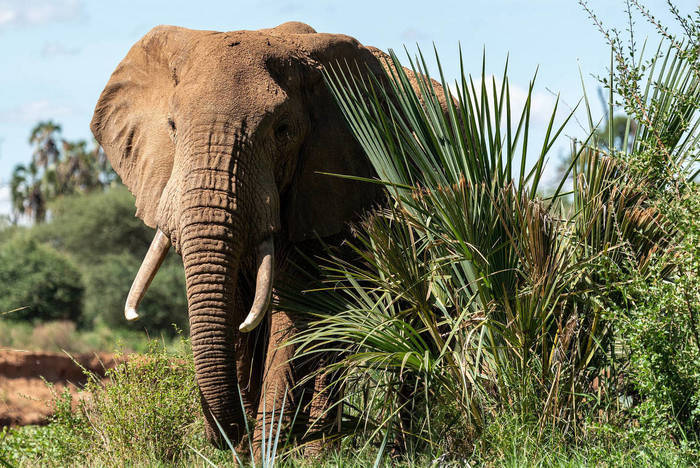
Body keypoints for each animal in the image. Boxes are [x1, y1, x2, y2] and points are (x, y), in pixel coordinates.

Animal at [91, 21, 448, 452]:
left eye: (283, 131)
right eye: (172, 127)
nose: (226, 436)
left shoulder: (324, 184)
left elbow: (290, 314)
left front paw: (268, 448)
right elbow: (238, 311)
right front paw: (246, 449)